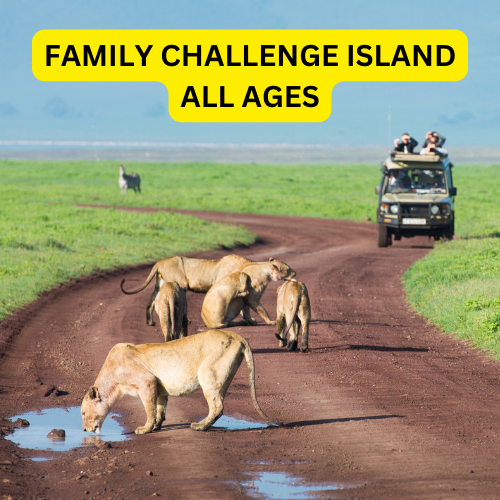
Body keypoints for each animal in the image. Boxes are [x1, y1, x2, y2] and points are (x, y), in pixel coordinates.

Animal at [80, 328, 280, 434]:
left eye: (82, 413)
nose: (84, 430)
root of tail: (236, 335)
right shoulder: (158, 386)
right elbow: (159, 408)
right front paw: (156, 426)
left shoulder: (146, 381)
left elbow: (149, 408)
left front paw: (145, 428)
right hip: (223, 377)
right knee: (219, 403)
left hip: (207, 373)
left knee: (217, 406)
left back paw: (200, 426)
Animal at [119, 256, 252, 326]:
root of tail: (159, 262)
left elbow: (246, 306)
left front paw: (250, 320)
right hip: (180, 283)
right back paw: (185, 321)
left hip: (159, 284)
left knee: (150, 303)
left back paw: (150, 322)